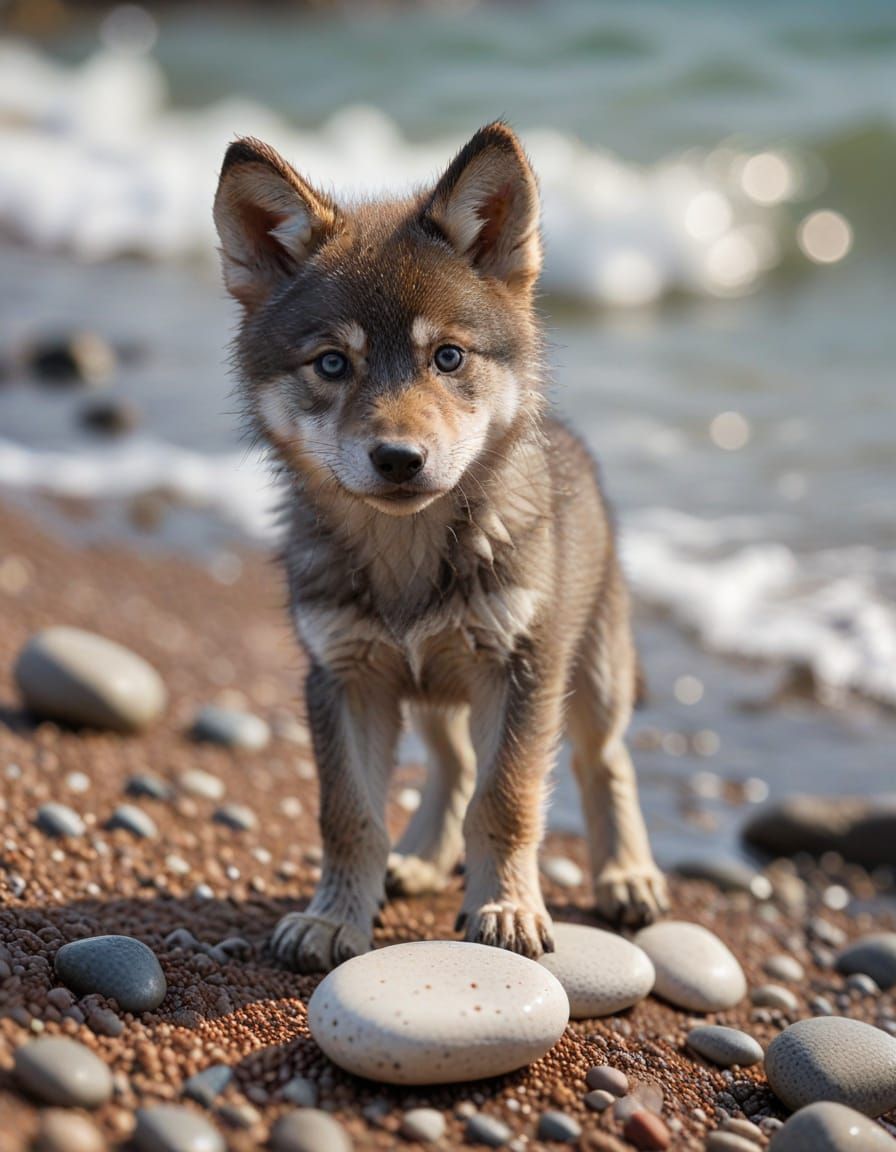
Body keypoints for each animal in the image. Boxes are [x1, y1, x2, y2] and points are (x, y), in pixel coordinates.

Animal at [213, 123, 668, 973]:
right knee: (453, 763)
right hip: (429, 690)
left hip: (591, 673)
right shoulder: (345, 678)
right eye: (333, 364)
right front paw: (333, 919)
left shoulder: (523, 672)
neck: (408, 553)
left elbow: (506, 800)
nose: (398, 459)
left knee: (605, 759)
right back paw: (421, 859)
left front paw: (507, 908)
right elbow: (349, 816)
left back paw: (627, 872)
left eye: (448, 357)